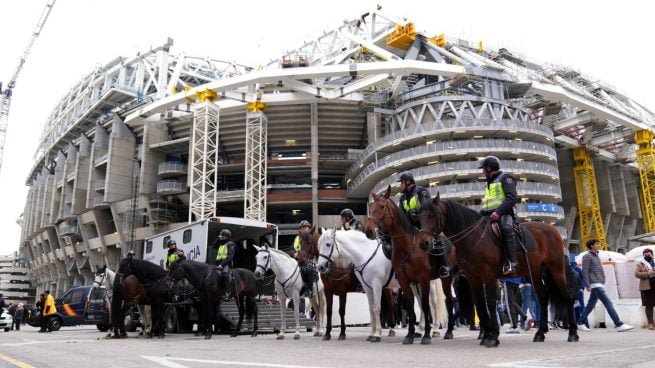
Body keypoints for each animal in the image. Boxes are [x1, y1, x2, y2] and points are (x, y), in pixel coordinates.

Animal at [316, 230, 448, 342]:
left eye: (328, 244)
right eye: (318, 245)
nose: (320, 267)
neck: (365, 253)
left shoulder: (375, 285)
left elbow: (376, 308)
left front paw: (377, 335)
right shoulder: (367, 287)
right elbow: (371, 309)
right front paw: (371, 334)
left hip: (426, 283)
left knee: (432, 303)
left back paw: (435, 330)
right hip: (414, 285)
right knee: (421, 304)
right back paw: (419, 331)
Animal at [418, 193, 576, 344]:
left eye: (433, 215)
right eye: (420, 216)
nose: (424, 243)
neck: (473, 237)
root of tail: (552, 228)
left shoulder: (488, 275)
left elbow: (490, 302)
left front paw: (492, 336)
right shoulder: (473, 278)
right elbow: (481, 305)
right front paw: (487, 334)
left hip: (556, 268)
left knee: (567, 296)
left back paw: (572, 333)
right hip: (536, 271)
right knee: (543, 297)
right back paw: (540, 333)